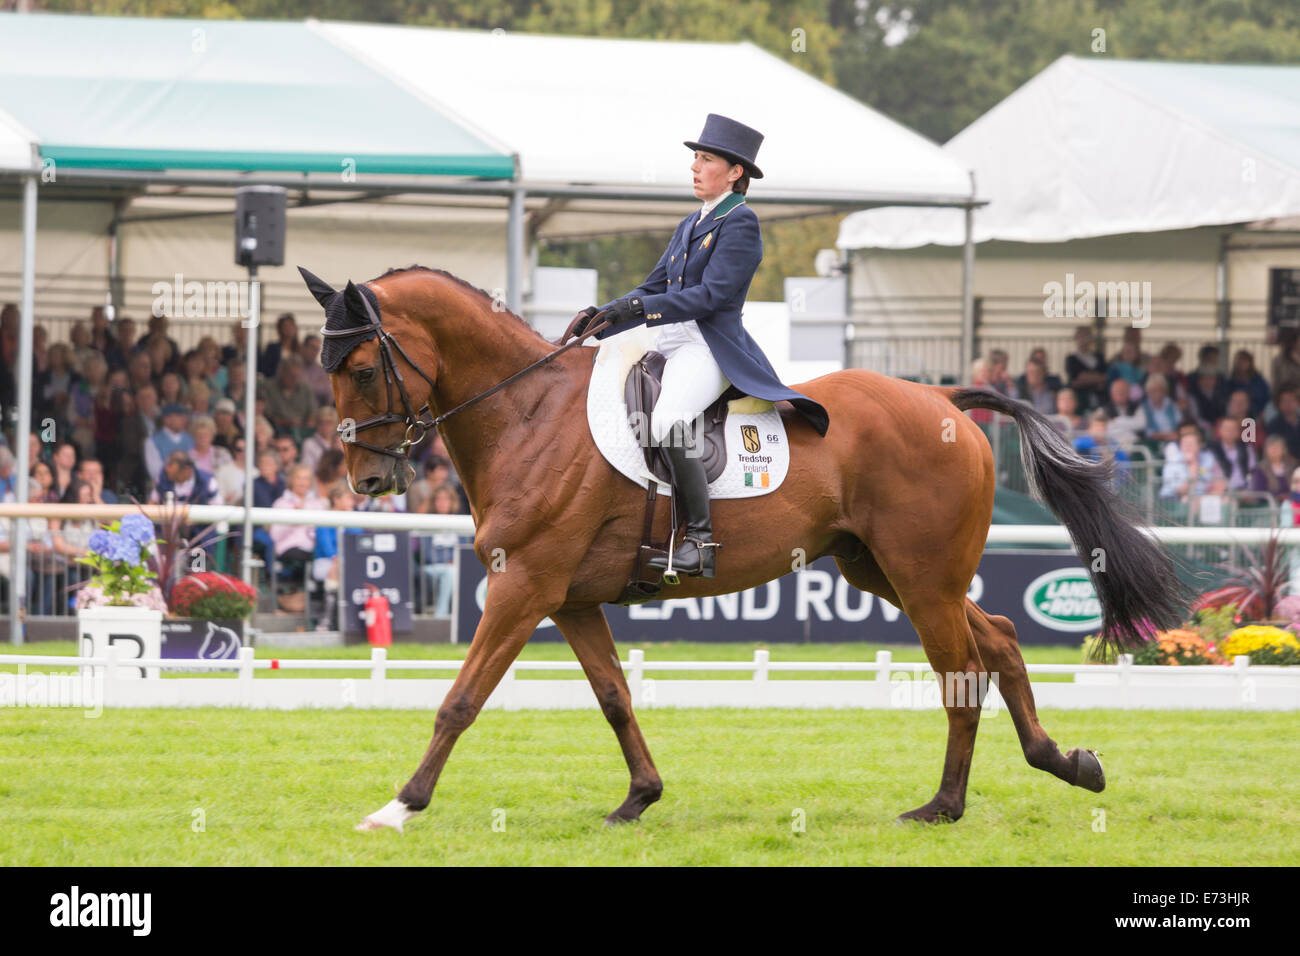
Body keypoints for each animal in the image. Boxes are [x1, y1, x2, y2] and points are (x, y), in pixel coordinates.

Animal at [299, 261, 1185, 832]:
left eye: (362, 368)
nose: (366, 479)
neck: (527, 412)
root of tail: (942, 399)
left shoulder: (525, 587)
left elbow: (461, 699)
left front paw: (399, 805)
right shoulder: (571, 597)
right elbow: (614, 697)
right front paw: (640, 798)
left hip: (921, 576)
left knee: (961, 671)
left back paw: (943, 807)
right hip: (885, 569)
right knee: (997, 641)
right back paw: (1063, 762)